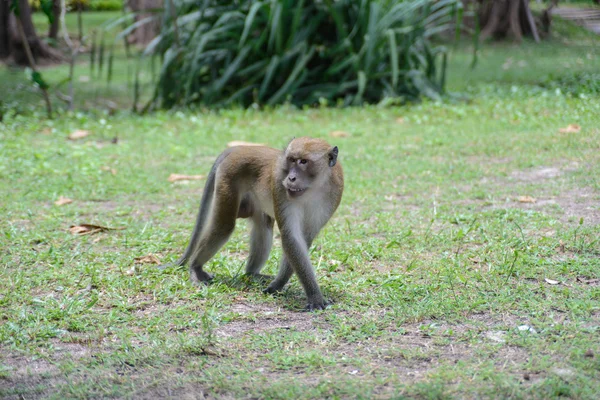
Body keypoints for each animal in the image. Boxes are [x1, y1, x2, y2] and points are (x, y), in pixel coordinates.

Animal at [162, 137, 344, 310]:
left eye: (304, 162)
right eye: (291, 160)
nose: (291, 178)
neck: (314, 188)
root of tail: (241, 148)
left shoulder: (333, 194)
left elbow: (304, 239)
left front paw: (278, 285)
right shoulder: (280, 187)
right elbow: (291, 237)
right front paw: (314, 297)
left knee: (263, 226)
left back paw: (252, 273)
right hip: (229, 176)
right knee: (224, 226)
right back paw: (195, 267)